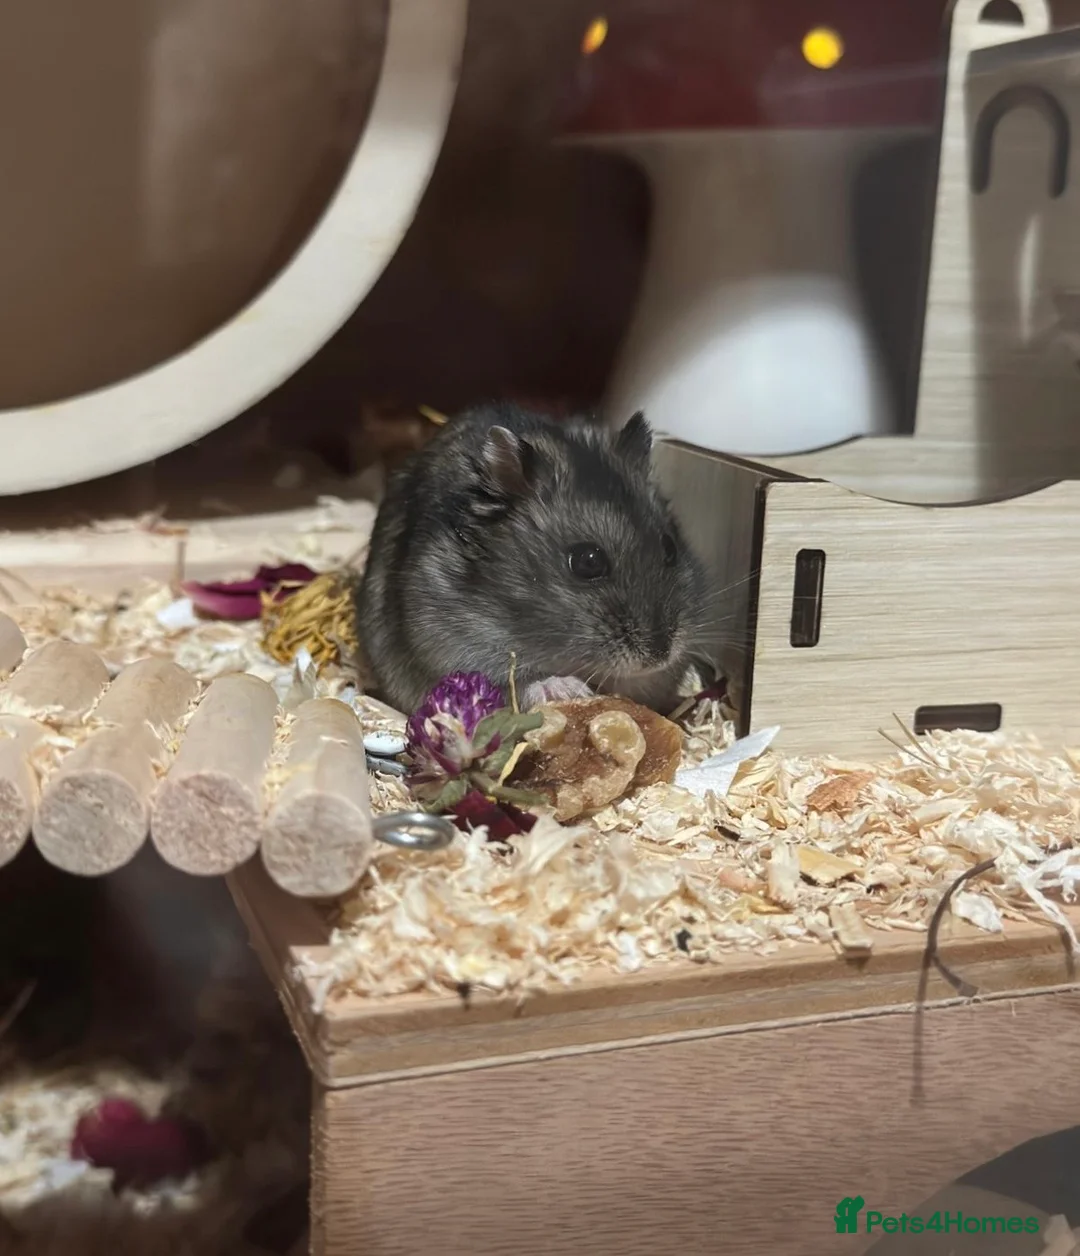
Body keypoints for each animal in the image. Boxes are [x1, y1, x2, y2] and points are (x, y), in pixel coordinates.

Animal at [355, 403, 708, 716]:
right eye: (588, 561)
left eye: (670, 548)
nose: (659, 656)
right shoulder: (452, 650)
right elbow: (517, 683)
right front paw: (567, 688)